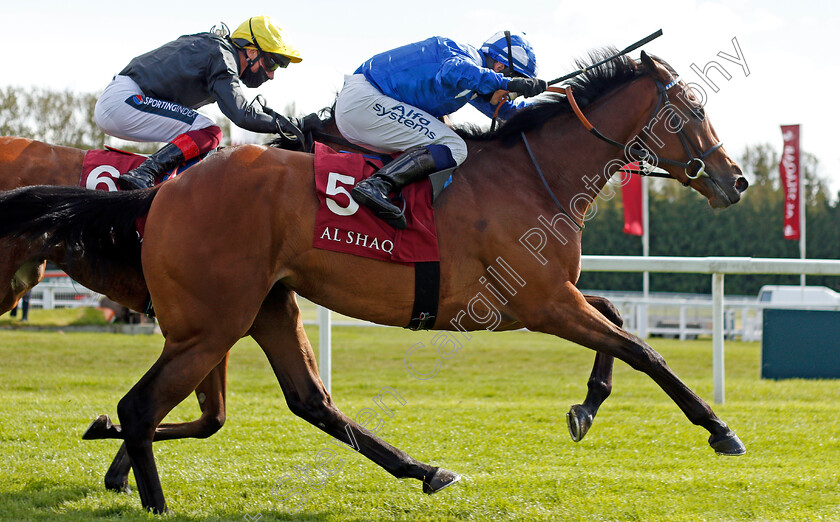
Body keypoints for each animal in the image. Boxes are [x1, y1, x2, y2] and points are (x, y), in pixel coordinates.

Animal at [0, 50, 748, 510]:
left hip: (261, 308)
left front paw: (586, 407)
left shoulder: (544, 298)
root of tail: (159, 191)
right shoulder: (538, 302)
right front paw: (718, 429)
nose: (735, 179)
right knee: (142, 407)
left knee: (301, 402)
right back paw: (151, 495)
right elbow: (644, 349)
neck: (533, 175)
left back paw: (426, 470)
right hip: (213, 323)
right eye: (688, 110)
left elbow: (619, 319)